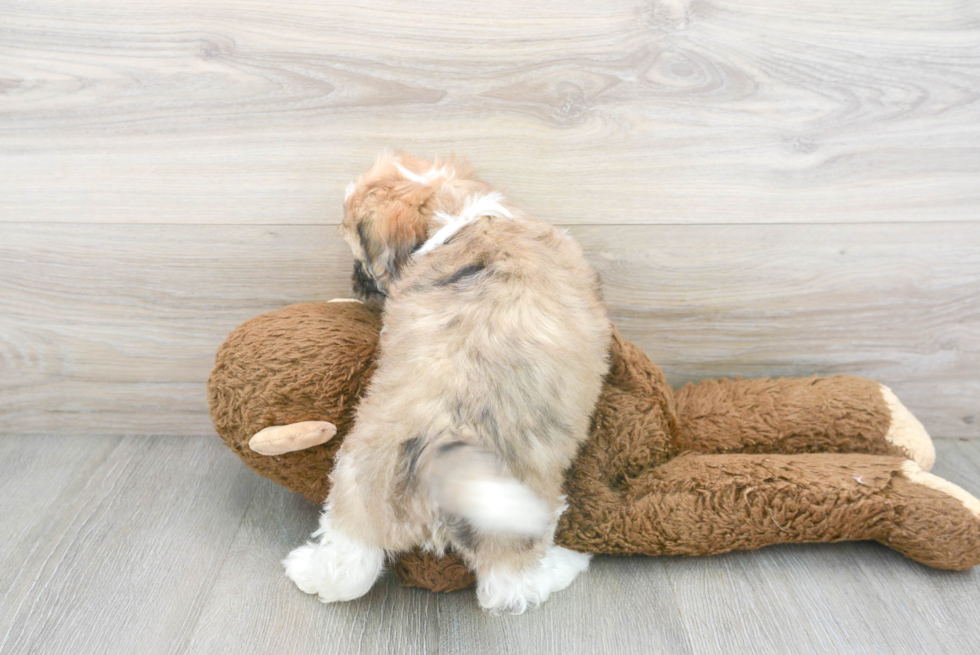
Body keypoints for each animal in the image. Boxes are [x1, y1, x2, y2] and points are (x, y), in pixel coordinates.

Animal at [282, 151, 612, 612]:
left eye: (358, 255)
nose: (355, 282)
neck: (461, 217)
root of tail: (440, 454)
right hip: (518, 512)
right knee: (509, 585)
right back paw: (565, 565)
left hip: (355, 480)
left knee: (349, 560)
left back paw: (309, 570)